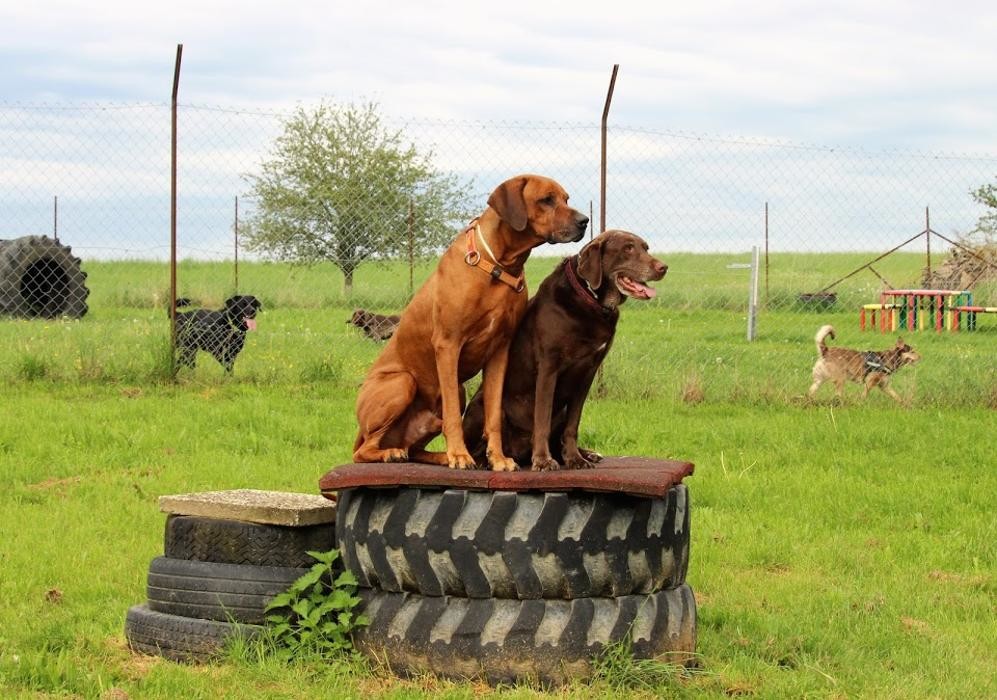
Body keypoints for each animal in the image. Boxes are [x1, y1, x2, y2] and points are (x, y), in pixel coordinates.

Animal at [352, 175, 588, 470]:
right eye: (546, 199)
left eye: (566, 198)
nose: (584, 221)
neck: (498, 264)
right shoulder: (448, 345)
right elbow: (454, 416)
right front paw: (460, 455)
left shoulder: (500, 351)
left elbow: (494, 414)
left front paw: (497, 458)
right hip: (403, 383)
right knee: (363, 450)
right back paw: (393, 453)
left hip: (455, 392)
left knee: (413, 448)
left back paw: (439, 456)